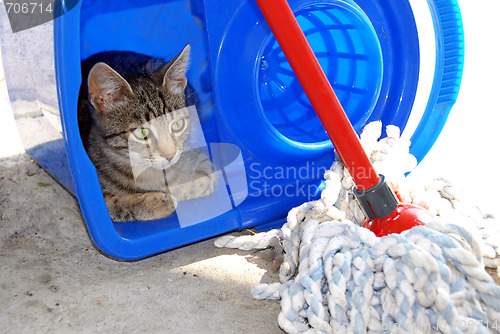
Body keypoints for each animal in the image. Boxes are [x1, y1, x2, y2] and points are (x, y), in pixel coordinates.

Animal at [78, 44, 217, 222]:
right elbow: (114, 204)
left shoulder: (199, 156)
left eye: (177, 125)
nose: (170, 155)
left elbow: (205, 179)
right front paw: (159, 202)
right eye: (141, 132)